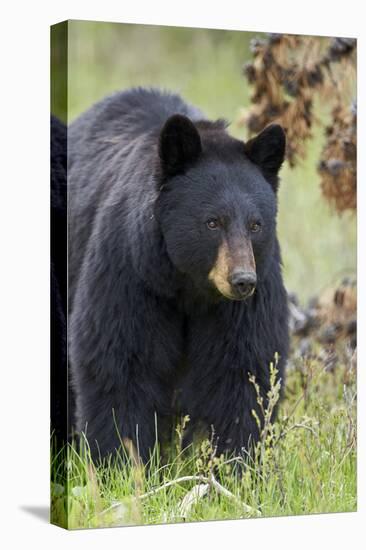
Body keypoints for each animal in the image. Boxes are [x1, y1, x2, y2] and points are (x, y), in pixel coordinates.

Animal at [68, 88, 288, 464]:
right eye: (213, 222)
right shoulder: (130, 272)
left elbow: (243, 372)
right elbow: (120, 362)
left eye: (255, 224)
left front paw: (237, 464)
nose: (242, 280)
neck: (189, 286)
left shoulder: (248, 299)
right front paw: (122, 462)